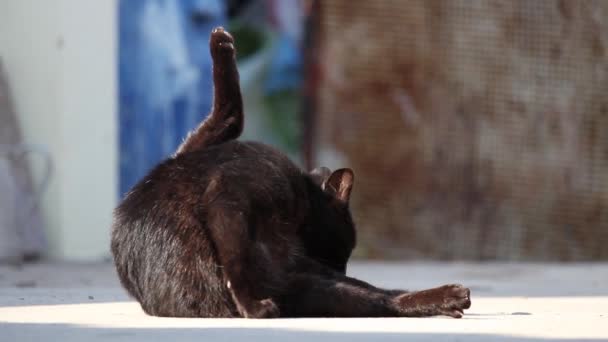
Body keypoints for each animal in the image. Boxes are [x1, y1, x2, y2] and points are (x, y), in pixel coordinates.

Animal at [110, 26, 470, 318]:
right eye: (347, 244)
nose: (341, 266)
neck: (303, 196)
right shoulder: (236, 186)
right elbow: (235, 261)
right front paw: (252, 305)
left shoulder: (198, 149)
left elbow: (227, 114)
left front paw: (221, 43)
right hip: (305, 280)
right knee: (380, 299)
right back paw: (447, 298)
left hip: (309, 282)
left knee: (380, 297)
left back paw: (448, 299)